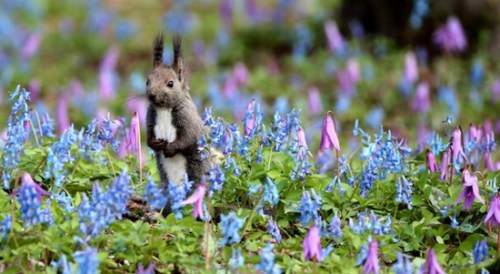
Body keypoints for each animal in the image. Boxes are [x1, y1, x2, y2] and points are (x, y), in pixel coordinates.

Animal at [146, 33, 208, 215]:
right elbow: (148, 137)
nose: (151, 95)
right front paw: (154, 143)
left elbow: (188, 140)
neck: (164, 110)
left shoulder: (189, 121)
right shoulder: (150, 119)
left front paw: (170, 149)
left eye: (170, 83)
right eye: (147, 81)